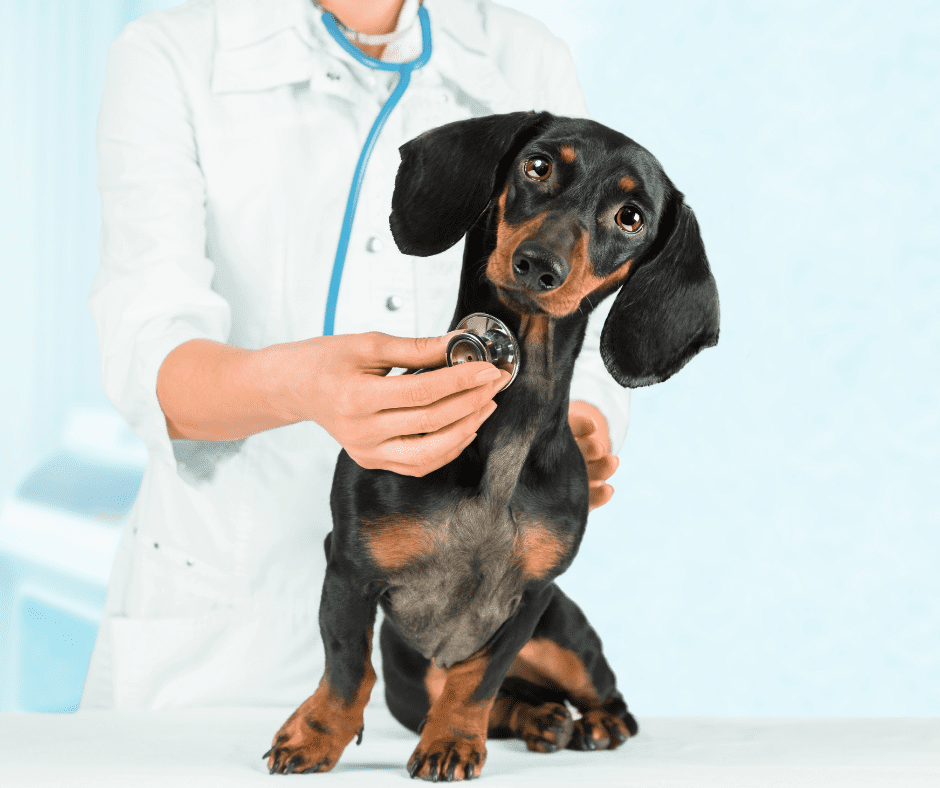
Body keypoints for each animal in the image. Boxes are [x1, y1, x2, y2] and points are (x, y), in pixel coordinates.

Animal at [264, 112, 720, 780]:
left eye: (631, 216)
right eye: (537, 165)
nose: (539, 265)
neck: (512, 420)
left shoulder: (530, 597)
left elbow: (477, 680)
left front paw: (452, 740)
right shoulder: (348, 568)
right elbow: (348, 666)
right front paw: (316, 735)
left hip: (563, 638)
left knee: (603, 696)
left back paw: (595, 723)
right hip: (419, 671)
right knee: (506, 700)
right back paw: (541, 718)